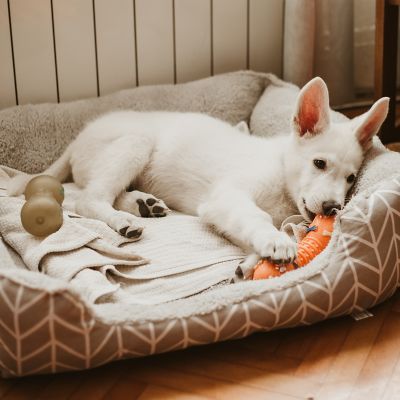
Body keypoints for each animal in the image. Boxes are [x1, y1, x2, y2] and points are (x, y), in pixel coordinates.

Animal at [8, 77, 388, 268]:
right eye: (319, 163)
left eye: (351, 179)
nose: (333, 209)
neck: (282, 173)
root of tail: (78, 138)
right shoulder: (227, 197)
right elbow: (256, 218)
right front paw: (276, 242)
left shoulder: (226, 212)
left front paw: (252, 263)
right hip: (134, 142)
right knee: (87, 199)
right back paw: (123, 220)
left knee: (100, 193)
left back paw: (143, 205)